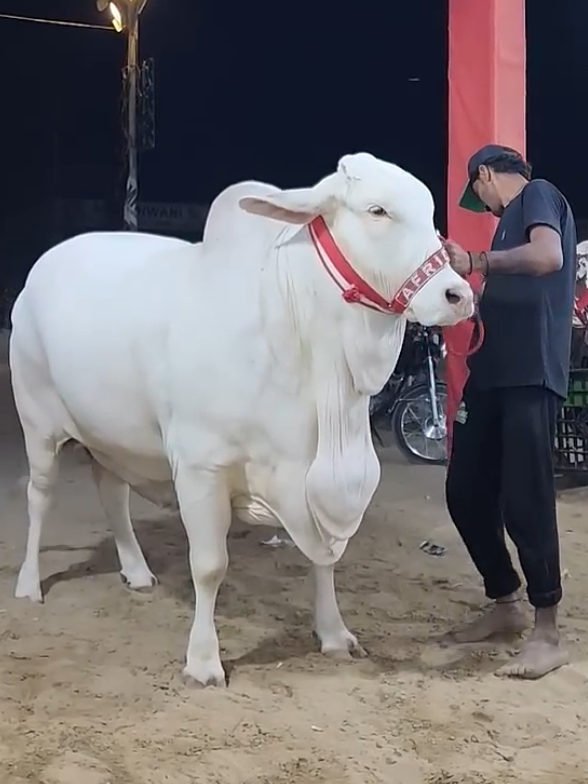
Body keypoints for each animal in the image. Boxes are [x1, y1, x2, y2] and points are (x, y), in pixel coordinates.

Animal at [10, 153, 474, 687]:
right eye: (377, 211)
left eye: (431, 212)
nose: (458, 294)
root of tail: (40, 269)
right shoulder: (200, 468)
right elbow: (210, 565)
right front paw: (203, 661)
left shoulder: (313, 483)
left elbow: (324, 559)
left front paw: (334, 634)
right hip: (38, 422)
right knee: (40, 497)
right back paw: (28, 584)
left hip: (111, 434)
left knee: (111, 491)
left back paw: (137, 571)